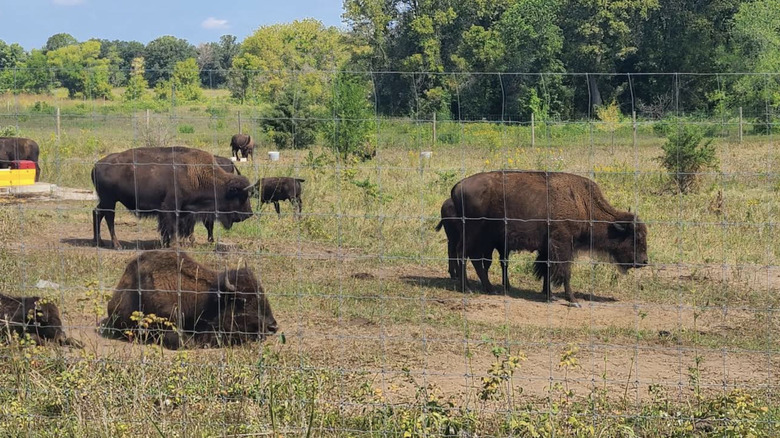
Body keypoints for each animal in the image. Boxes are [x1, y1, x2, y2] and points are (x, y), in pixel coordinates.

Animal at [91, 147, 254, 249]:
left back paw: (98, 242)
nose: (249, 214)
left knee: (97, 213)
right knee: (109, 218)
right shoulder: (171, 208)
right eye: (240, 196)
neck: (197, 174)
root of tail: (96, 165)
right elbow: (173, 227)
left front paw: (167, 243)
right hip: (110, 201)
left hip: (106, 201)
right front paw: (175, 245)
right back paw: (117, 245)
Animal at [451, 171, 648, 303]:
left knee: (476, 259)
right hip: (473, 234)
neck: (583, 203)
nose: (644, 261)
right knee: (462, 254)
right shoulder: (562, 244)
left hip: (485, 238)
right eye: (636, 238)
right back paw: (467, 288)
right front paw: (572, 300)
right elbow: (565, 271)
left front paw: (548, 294)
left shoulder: (548, 248)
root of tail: (458, 186)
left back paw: (490, 289)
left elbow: (547, 269)